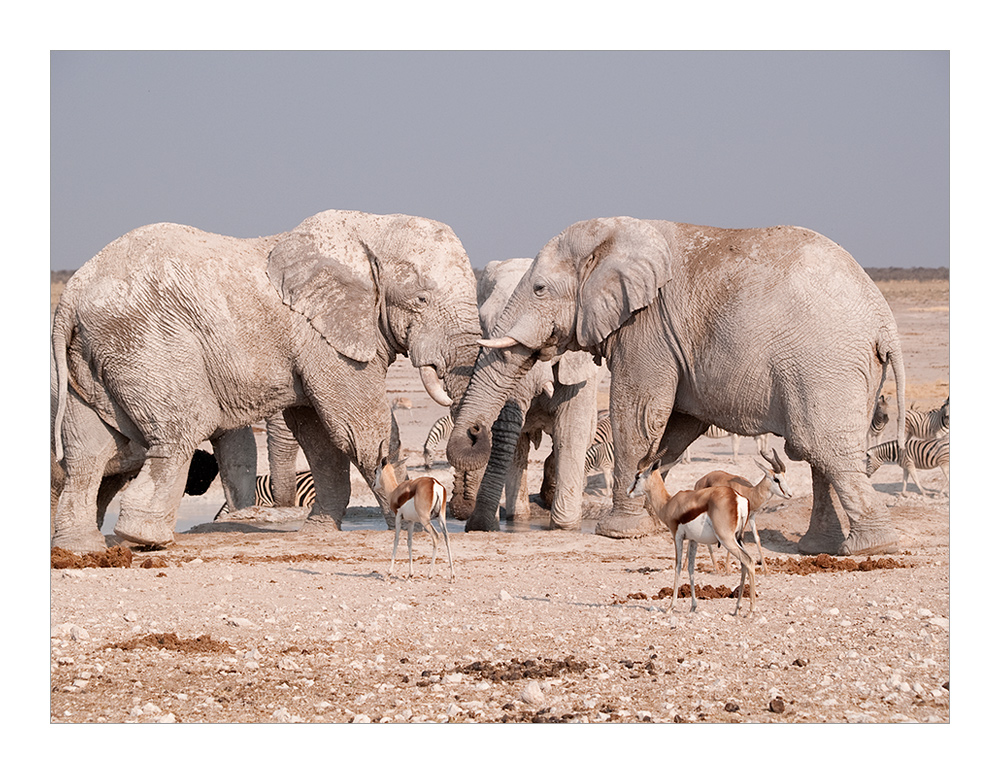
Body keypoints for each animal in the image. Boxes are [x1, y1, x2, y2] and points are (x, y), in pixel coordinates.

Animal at [52, 209, 482, 556]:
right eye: (421, 300)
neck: (371, 228)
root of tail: (71, 295)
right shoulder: (324, 338)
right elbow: (359, 427)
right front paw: (408, 519)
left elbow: (319, 434)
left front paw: (319, 531)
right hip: (147, 343)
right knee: (177, 434)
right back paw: (143, 539)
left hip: (92, 357)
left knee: (88, 450)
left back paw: (79, 548)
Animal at [454, 260, 600, 532]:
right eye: (483, 327)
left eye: (546, 339)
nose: (475, 430)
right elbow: (515, 441)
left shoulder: (581, 368)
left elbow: (569, 431)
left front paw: (564, 526)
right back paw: (518, 517)